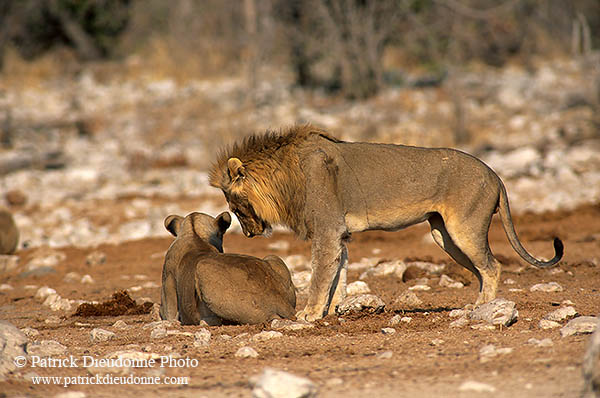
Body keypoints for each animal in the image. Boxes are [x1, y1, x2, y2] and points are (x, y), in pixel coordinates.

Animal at [159, 211, 296, 324]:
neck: (195, 233)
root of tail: (282, 303)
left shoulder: (168, 283)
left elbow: (167, 313)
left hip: (202, 268)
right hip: (273, 257)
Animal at [210, 126, 564, 322]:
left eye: (235, 206)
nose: (249, 233)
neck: (285, 175)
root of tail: (495, 174)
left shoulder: (327, 230)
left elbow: (320, 275)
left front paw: (309, 313)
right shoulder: (340, 235)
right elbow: (339, 274)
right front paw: (333, 311)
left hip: (464, 228)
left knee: (492, 266)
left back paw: (483, 308)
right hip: (444, 235)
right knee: (479, 269)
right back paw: (475, 305)